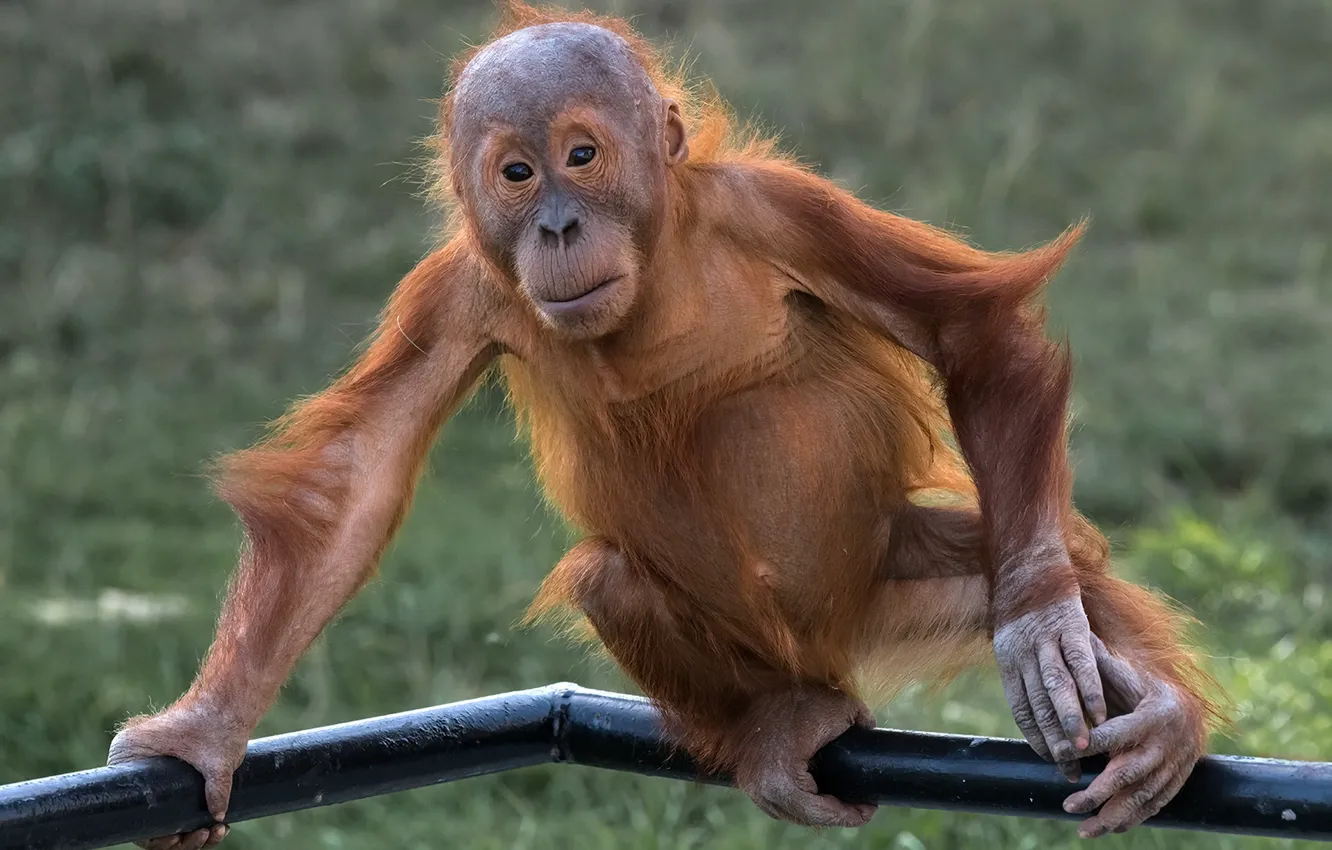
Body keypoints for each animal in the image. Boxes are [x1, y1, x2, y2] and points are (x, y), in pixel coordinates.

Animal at [106, 4, 1225, 848]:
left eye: (582, 154)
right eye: (517, 173)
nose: (559, 224)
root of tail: (827, 653)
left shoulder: (779, 210)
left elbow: (968, 330)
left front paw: (1039, 622)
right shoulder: (455, 295)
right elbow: (353, 485)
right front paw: (200, 734)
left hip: (887, 589)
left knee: (1060, 556)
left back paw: (1151, 707)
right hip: (777, 648)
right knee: (614, 578)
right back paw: (782, 727)